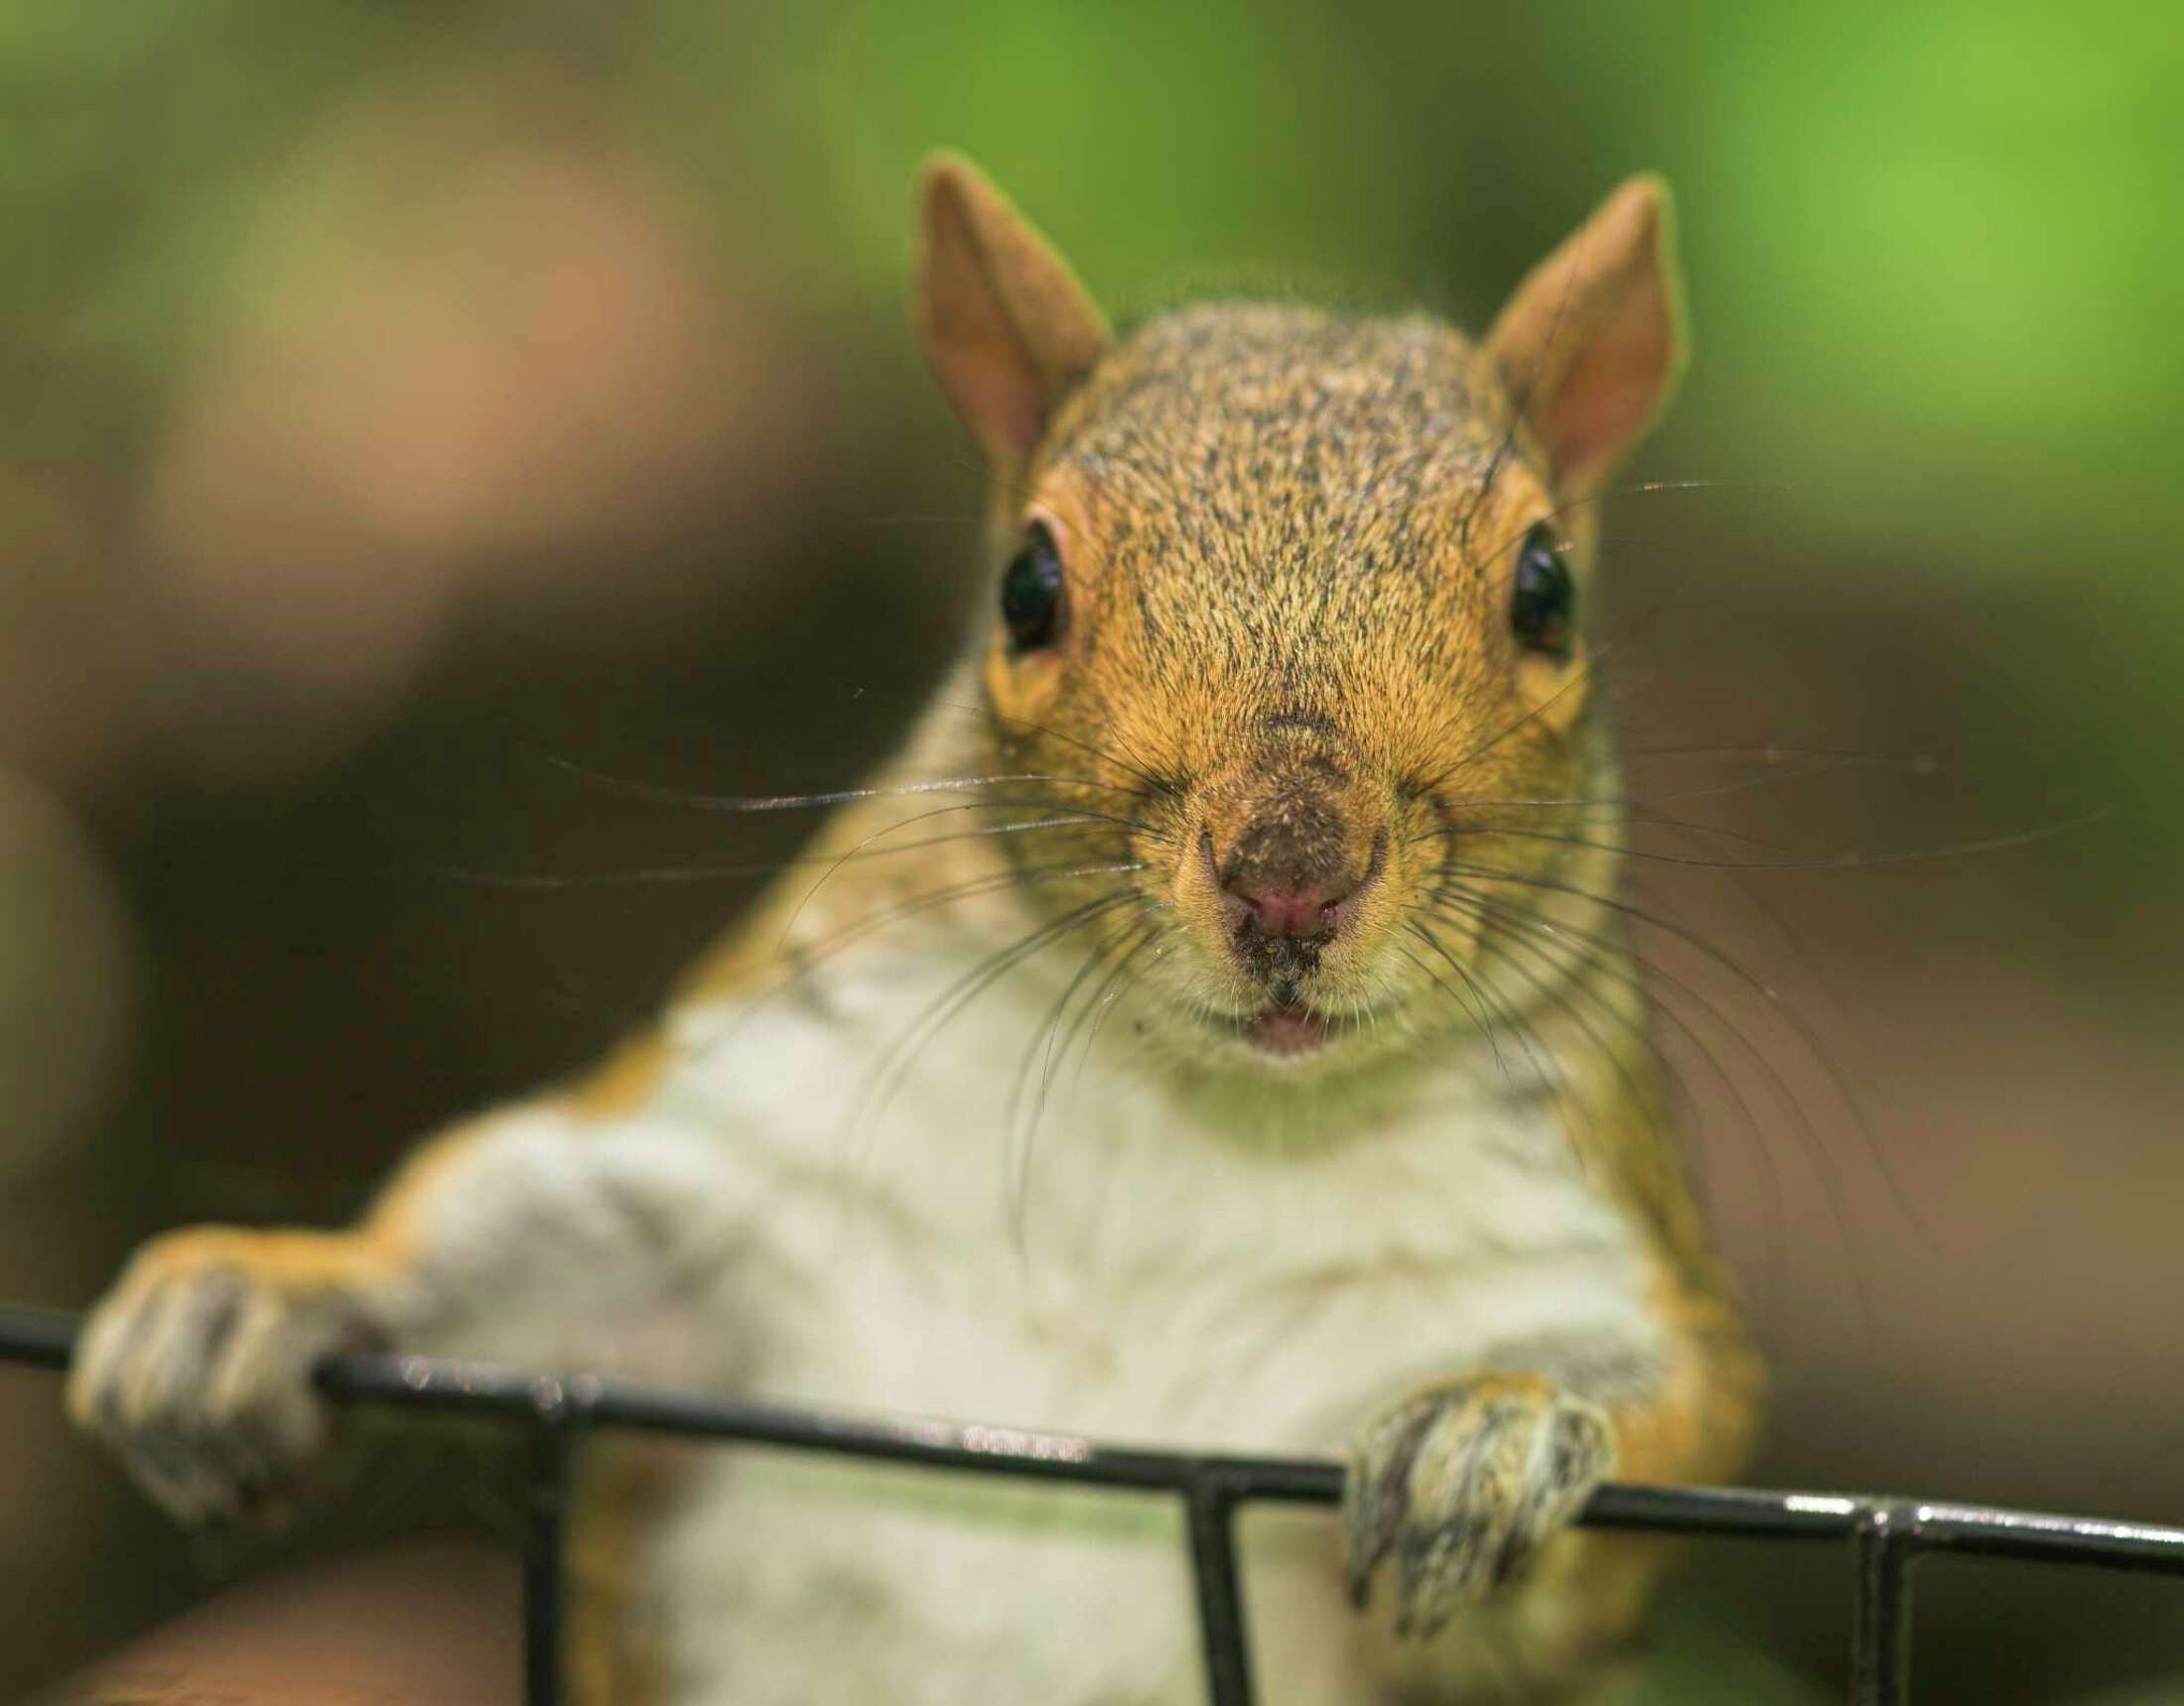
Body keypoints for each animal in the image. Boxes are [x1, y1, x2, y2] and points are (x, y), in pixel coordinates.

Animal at [68, 155, 1763, 1703]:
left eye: (1547, 590)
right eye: (1026, 585)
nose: (1291, 874)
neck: (1201, 1121)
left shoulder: (1584, 1250)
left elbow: (1663, 1437)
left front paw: (1501, 1426)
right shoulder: (734, 1172)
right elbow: (519, 1228)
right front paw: (261, 1294)